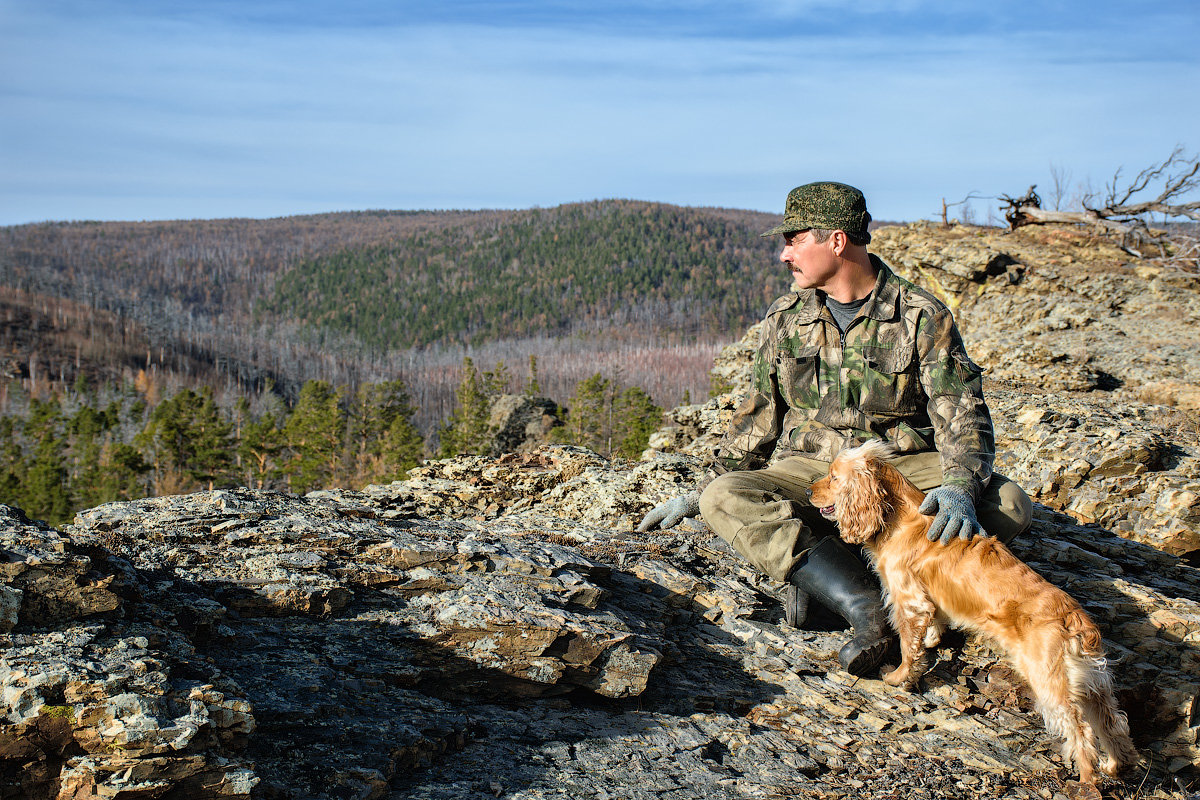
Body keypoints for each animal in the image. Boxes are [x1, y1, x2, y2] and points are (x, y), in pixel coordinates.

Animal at [811, 441, 1137, 786]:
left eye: (833, 477)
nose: (808, 490)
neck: (900, 516)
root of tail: (1075, 620)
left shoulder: (908, 600)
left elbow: (908, 648)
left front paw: (898, 677)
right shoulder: (928, 600)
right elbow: (932, 625)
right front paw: (932, 641)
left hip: (1051, 682)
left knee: (1081, 730)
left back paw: (1087, 779)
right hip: (1093, 683)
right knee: (1114, 723)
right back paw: (1115, 766)